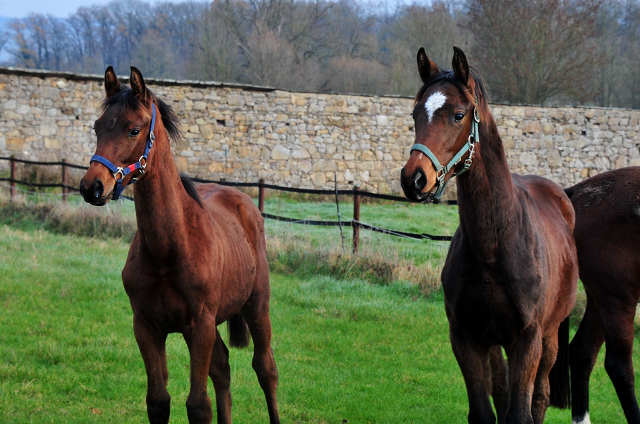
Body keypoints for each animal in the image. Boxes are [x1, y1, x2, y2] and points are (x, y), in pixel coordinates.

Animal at [80, 66, 280, 424]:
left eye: (133, 130)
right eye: (98, 127)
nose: (93, 187)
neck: (168, 248)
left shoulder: (199, 326)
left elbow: (198, 405)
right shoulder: (146, 326)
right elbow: (158, 400)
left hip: (257, 305)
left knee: (265, 368)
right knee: (223, 368)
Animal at [402, 44, 576, 422]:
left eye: (458, 115)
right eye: (415, 115)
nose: (414, 179)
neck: (493, 248)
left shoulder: (528, 339)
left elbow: (520, 412)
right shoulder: (466, 337)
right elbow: (485, 410)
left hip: (550, 337)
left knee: (539, 396)